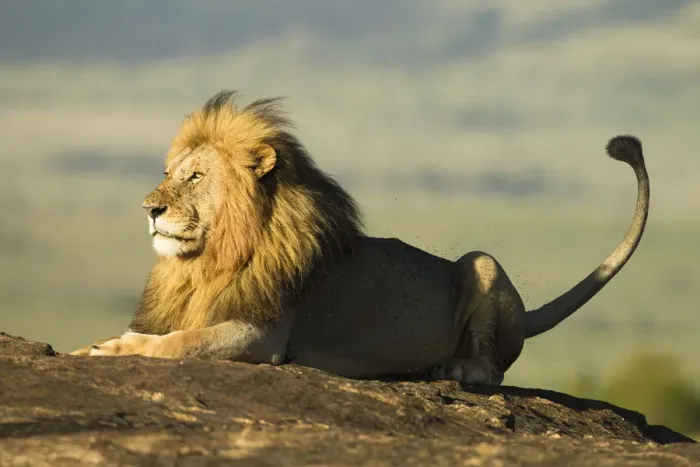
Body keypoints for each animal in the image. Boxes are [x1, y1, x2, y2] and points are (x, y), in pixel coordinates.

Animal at [71, 90, 650, 386]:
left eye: (194, 177)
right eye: (169, 173)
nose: (149, 209)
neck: (207, 260)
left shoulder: (263, 334)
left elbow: (181, 343)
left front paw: (116, 347)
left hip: (482, 261)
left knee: (493, 370)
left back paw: (457, 366)